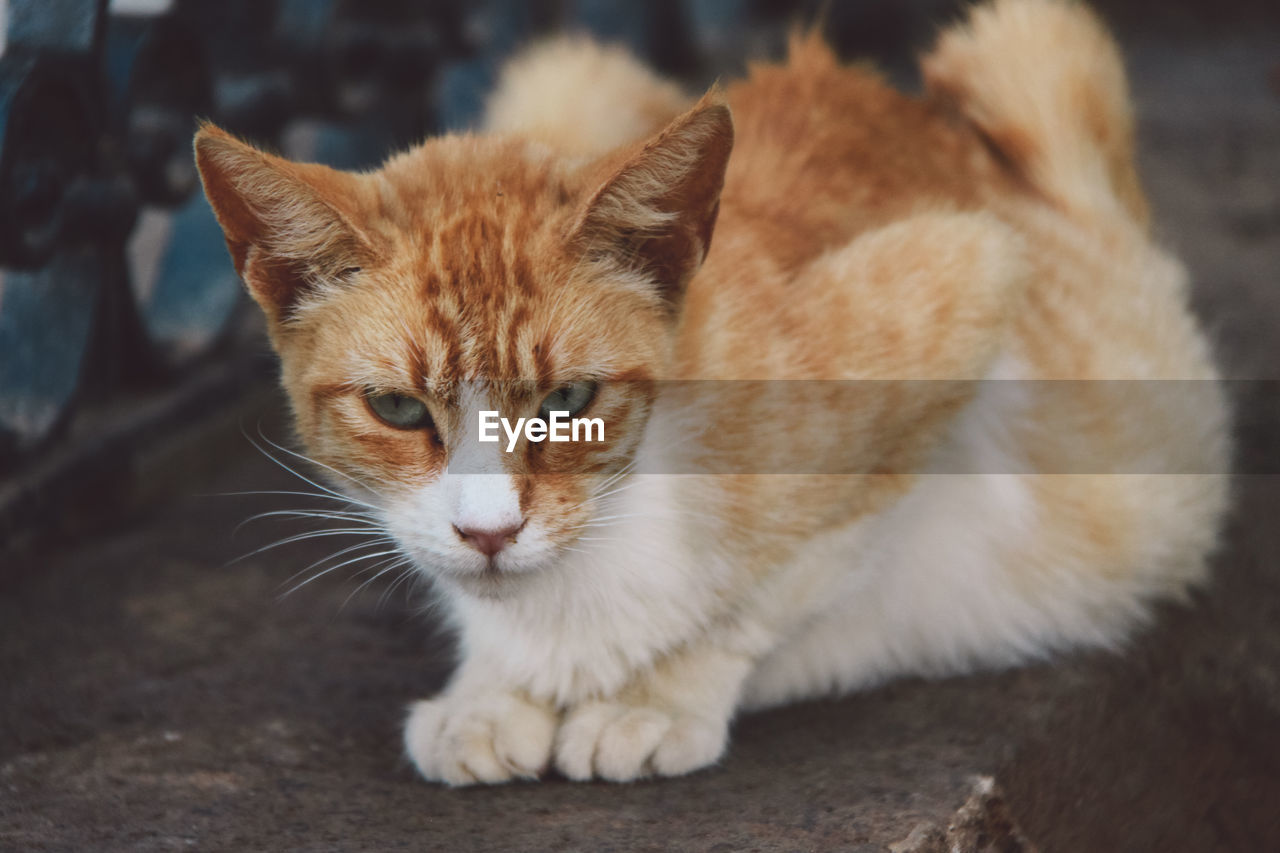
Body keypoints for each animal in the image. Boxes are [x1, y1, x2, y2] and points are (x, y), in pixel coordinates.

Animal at [197, 0, 1228, 783]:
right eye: (400, 410)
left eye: (571, 398)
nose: (489, 533)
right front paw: (489, 691)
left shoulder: (974, 274)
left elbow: (777, 581)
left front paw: (652, 698)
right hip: (560, 73)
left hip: (1037, 48)